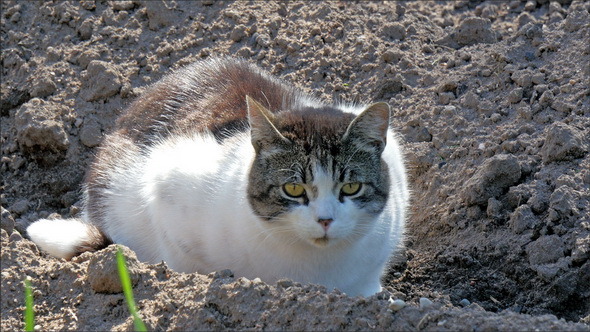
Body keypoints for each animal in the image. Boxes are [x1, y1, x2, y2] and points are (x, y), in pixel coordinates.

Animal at [25, 57, 410, 298]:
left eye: (351, 187)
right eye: (293, 188)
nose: (326, 220)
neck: (318, 270)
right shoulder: (169, 184)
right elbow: (182, 261)